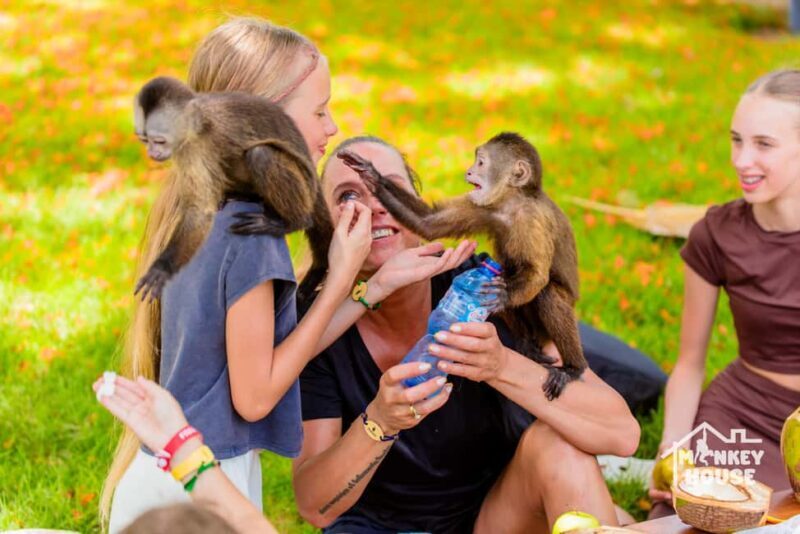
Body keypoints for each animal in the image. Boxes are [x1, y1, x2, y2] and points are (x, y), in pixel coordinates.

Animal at [132, 76, 332, 303]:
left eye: (159, 141)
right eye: (144, 141)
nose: (152, 153)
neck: (199, 122)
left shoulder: (193, 146)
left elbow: (199, 213)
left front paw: (162, 268)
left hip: (305, 186)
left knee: (260, 155)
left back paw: (292, 222)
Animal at [338, 132, 586, 400]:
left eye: (481, 163)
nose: (468, 171)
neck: (510, 203)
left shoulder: (532, 219)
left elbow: (537, 274)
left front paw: (503, 295)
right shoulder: (485, 207)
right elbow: (428, 222)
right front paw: (371, 174)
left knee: (546, 293)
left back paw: (573, 368)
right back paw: (527, 345)